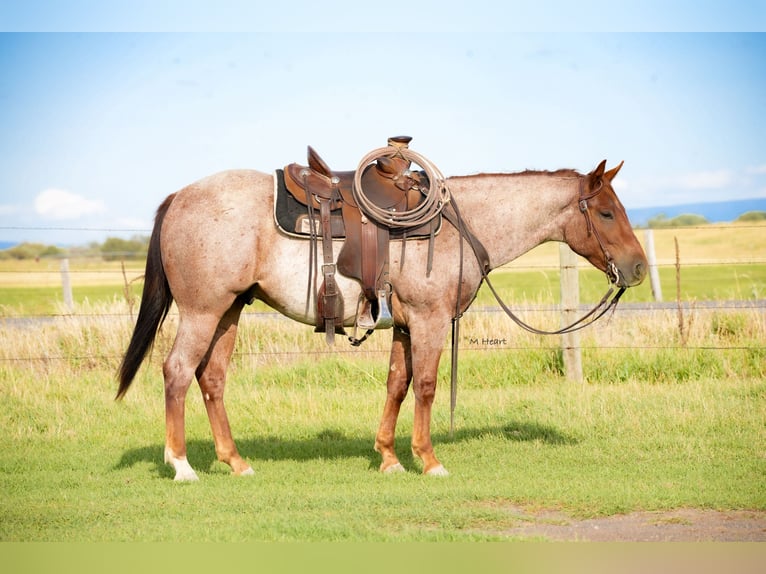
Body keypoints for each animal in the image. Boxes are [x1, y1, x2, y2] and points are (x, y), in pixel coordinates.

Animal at [117, 156, 647, 481]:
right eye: (605, 212)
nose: (639, 267)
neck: (458, 226)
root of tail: (180, 197)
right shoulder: (431, 321)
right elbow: (427, 386)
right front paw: (428, 460)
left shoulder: (407, 326)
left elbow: (397, 384)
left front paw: (389, 457)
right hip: (202, 312)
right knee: (177, 372)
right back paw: (181, 465)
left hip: (227, 312)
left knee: (212, 379)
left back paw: (235, 461)